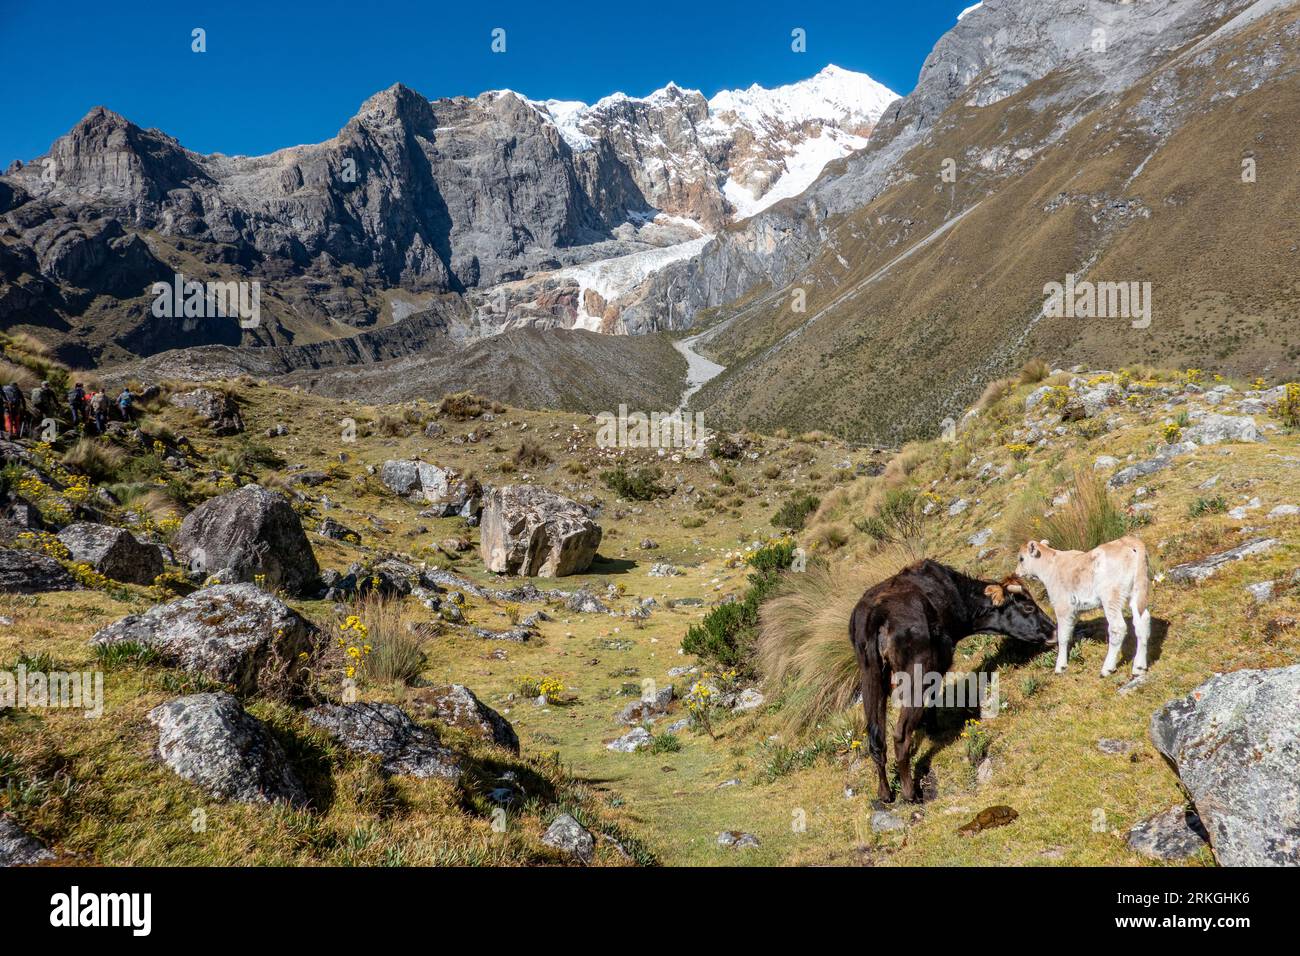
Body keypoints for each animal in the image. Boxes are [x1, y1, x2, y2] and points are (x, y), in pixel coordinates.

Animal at [850, 560, 1056, 803]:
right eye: (1028, 607)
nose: (1054, 629)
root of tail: (876, 613)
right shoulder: (940, 662)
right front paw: (932, 727)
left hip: (870, 675)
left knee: (876, 737)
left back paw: (885, 793)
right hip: (916, 672)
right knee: (900, 734)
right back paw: (910, 793)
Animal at [1015, 536, 1151, 677]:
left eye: (1021, 558)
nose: (1016, 573)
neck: (1051, 566)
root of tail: (1129, 542)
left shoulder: (1062, 606)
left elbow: (1062, 636)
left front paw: (1060, 667)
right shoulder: (1075, 611)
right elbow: (1069, 632)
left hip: (1111, 596)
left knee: (1117, 627)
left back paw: (1107, 669)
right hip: (1137, 592)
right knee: (1142, 622)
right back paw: (1139, 667)